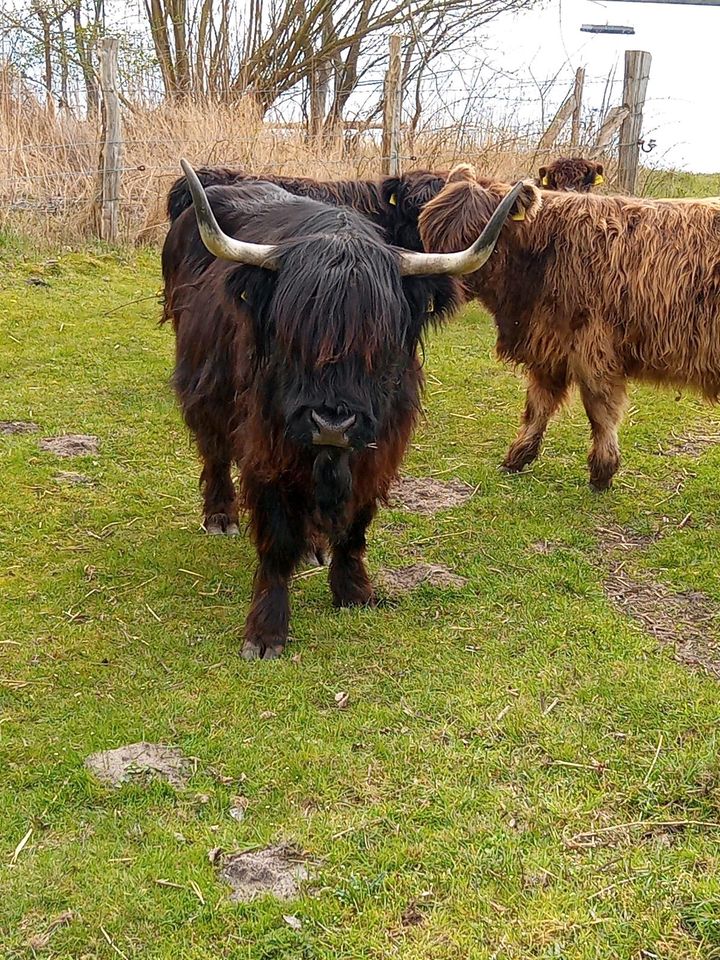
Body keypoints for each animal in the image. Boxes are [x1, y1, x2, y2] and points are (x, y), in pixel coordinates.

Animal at [420, 163, 720, 488]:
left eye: (473, 235)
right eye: (429, 229)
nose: (433, 292)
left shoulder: (592, 348)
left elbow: (599, 408)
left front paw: (602, 472)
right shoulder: (549, 345)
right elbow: (538, 404)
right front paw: (517, 457)